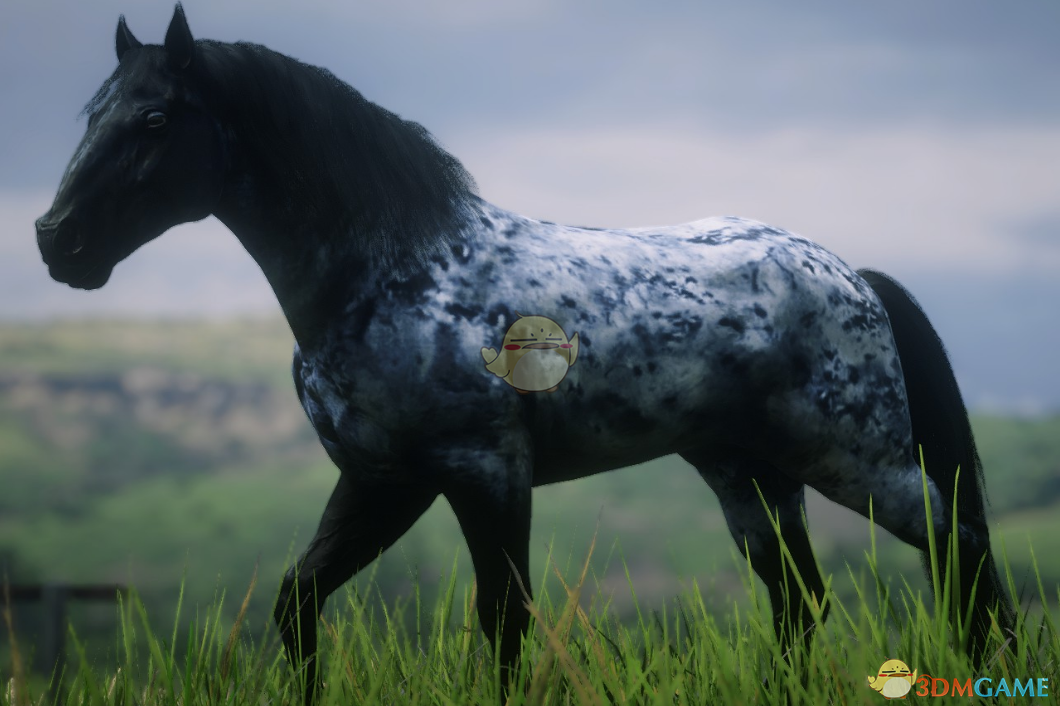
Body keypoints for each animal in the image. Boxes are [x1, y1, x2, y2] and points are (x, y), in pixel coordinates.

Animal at [36, 5, 1014, 698]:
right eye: (92, 112)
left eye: (154, 118)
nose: (56, 241)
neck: (397, 276)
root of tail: (853, 275)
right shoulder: (383, 480)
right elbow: (297, 601)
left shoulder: (483, 469)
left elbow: (503, 616)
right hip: (751, 478)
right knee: (803, 600)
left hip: (855, 459)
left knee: (956, 542)